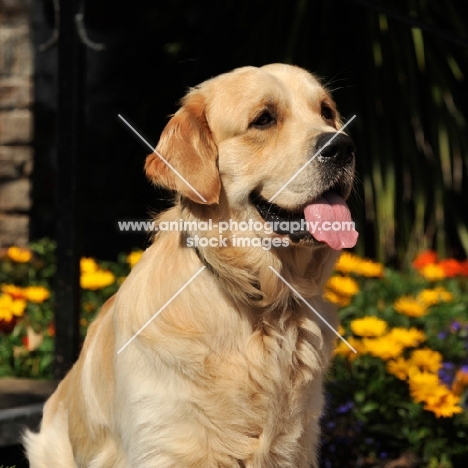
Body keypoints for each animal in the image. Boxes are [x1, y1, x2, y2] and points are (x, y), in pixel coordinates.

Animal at [23, 63, 356, 468]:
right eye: (264, 119)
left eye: (326, 112)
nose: (342, 146)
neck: (263, 308)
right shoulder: (165, 444)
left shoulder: (295, 444)